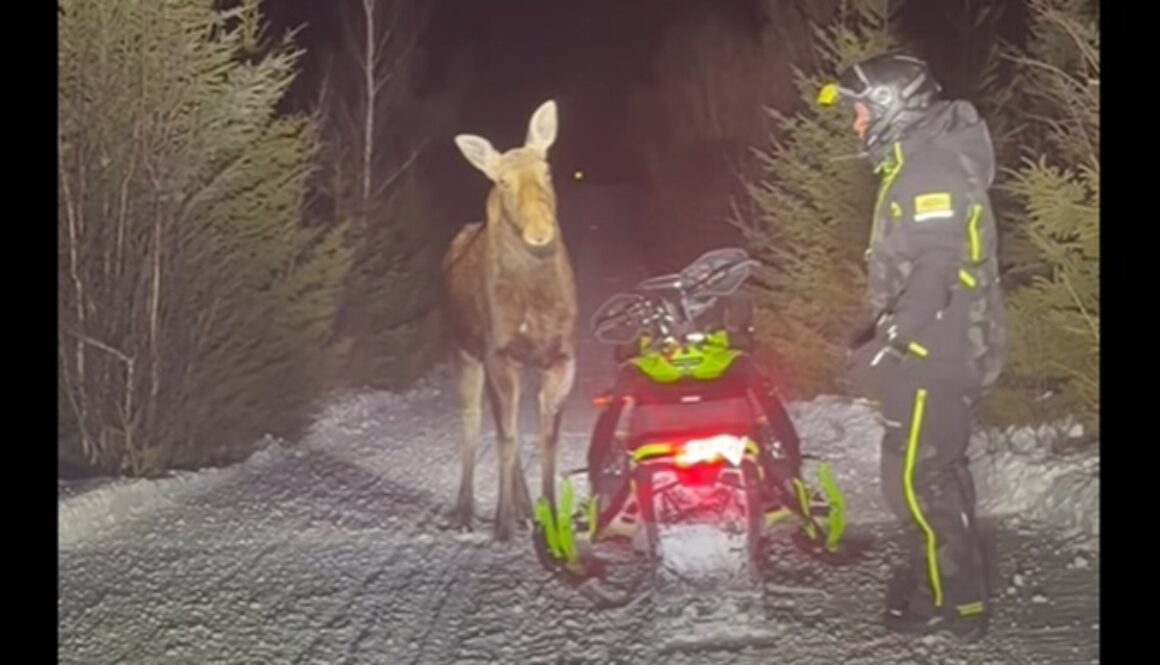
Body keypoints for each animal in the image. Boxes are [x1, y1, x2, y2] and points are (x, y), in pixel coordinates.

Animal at [441, 99, 577, 542]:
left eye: (547, 170)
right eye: (502, 183)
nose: (539, 231)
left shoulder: (561, 356)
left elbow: (546, 440)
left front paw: (550, 518)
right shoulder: (497, 352)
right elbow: (504, 437)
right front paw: (500, 526)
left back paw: (523, 509)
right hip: (464, 352)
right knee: (472, 422)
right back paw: (465, 513)